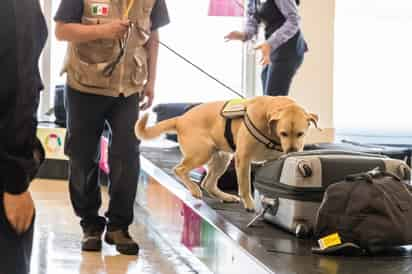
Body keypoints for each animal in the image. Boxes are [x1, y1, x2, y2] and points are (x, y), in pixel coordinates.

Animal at [135, 95, 318, 211]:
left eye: (300, 134)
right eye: (284, 133)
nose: (292, 151)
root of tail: (180, 119)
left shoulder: (272, 161)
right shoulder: (243, 158)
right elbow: (245, 186)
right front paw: (249, 204)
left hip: (222, 158)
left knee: (208, 183)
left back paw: (225, 196)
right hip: (203, 153)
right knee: (179, 170)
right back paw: (194, 189)